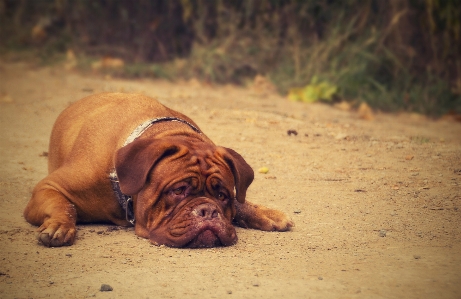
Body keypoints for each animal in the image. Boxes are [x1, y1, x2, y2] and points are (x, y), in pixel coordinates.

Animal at [24, 94, 292, 248]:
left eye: (222, 196)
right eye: (178, 191)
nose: (207, 211)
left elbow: (240, 202)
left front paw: (264, 212)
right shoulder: (49, 187)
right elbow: (64, 205)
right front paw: (59, 226)